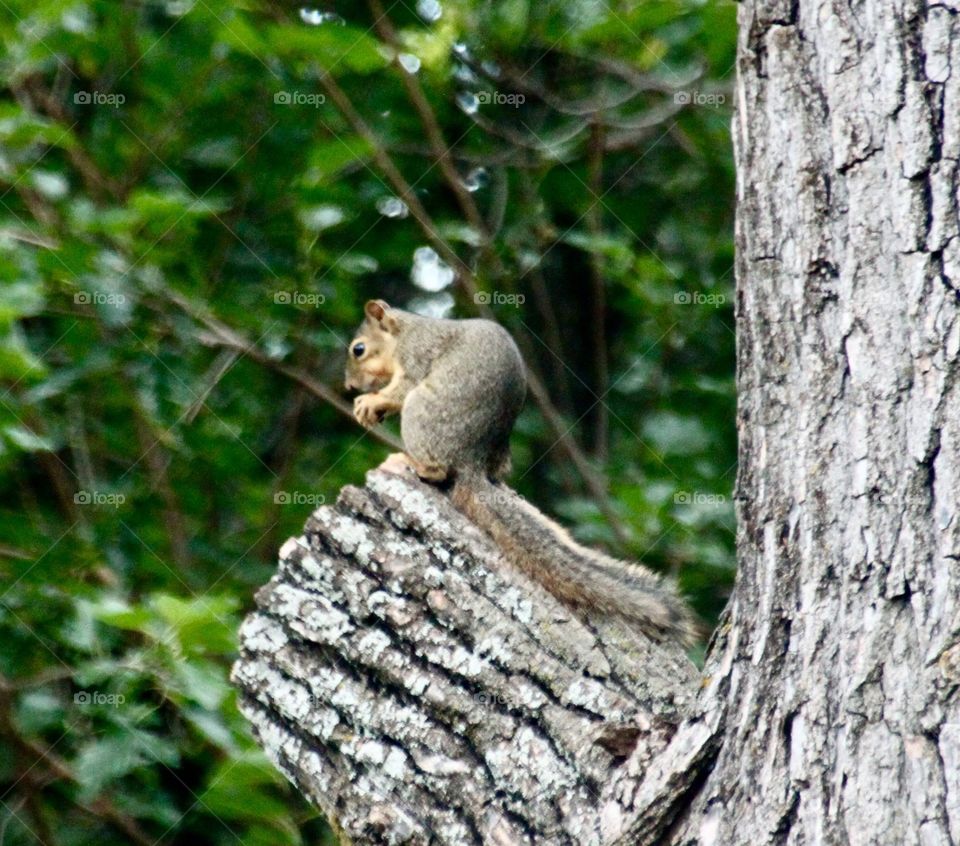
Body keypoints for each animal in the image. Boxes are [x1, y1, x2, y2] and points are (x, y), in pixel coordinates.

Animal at [345, 299, 695, 644]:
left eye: (358, 349)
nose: (349, 385)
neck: (404, 332)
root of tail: (472, 462)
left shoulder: (417, 356)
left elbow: (400, 390)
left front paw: (370, 402)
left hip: (421, 412)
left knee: (438, 468)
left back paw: (410, 461)